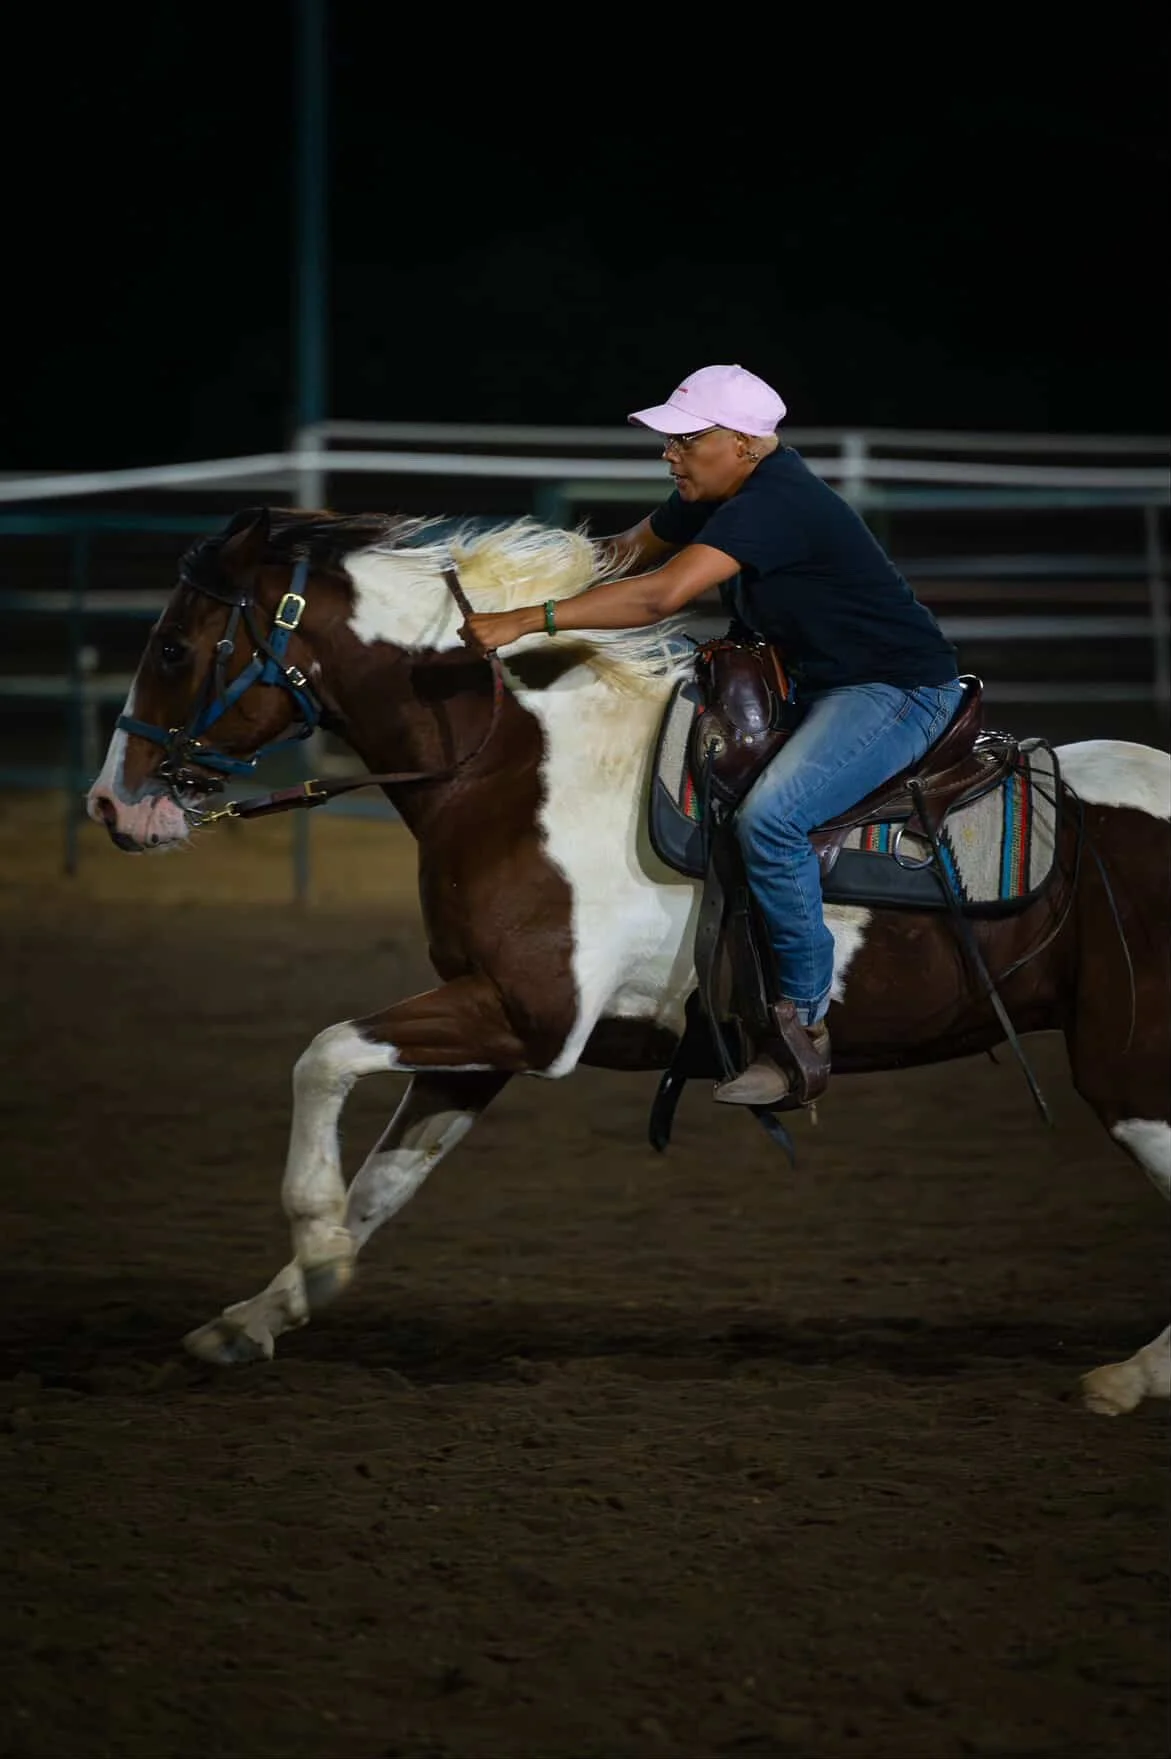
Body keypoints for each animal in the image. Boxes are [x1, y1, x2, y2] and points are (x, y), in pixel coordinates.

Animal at [85, 505, 1171, 1415]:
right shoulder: (485, 1038)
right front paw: (263, 1311)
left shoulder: (525, 1015)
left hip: (1127, 1073)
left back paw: (1125, 1377)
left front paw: (312, 1242)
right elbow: (385, 1181)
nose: (112, 804)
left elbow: (321, 1054)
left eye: (174, 646)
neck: (512, 765)